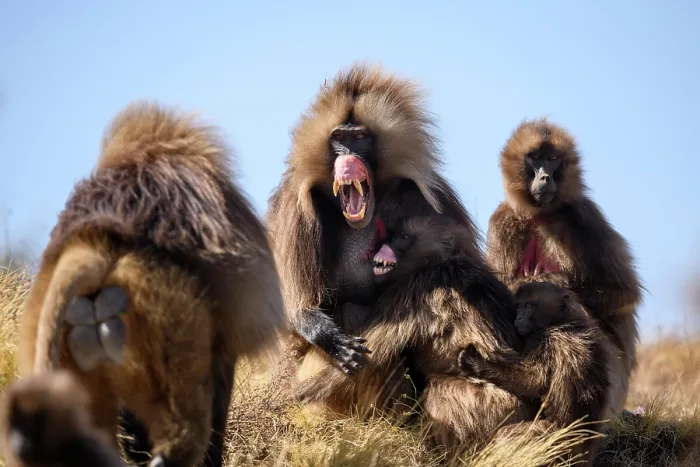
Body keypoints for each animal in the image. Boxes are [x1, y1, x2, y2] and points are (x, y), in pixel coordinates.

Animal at [266, 62, 485, 379]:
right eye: (339, 139)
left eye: (359, 139)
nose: (347, 159)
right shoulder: (295, 211)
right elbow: (298, 309)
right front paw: (331, 339)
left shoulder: (436, 197)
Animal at [458, 281, 612, 465]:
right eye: (519, 306)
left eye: (529, 306)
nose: (518, 318)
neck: (564, 323)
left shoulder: (551, 341)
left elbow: (533, 382)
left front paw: (473, 362)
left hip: (556, 439)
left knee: (508, 434)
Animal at [485, 118, 644, 419]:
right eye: (535, 157)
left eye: (552, 159)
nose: (545, 178)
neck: (540, 216)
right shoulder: (502, 221)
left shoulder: (584, 216)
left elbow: (623, 292)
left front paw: (548, 279)